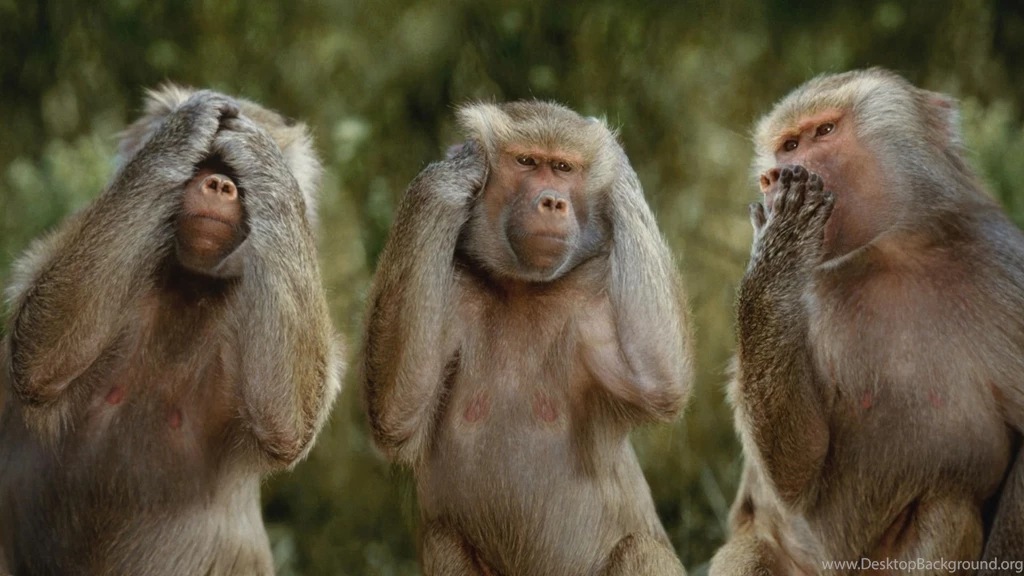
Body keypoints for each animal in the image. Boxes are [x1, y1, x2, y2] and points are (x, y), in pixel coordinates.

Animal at [0, 85, 343, 575]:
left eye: (235, 174)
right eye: (205, 163)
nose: (220, 185)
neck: (188, 283)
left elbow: (286, 421)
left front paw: (260, 151)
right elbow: (38, 356)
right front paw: (187, 125)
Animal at [361, 101, 693, 576]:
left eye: (563, 167)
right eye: (527, 162)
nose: (552, 201)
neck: (521, 288)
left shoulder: (591, 297)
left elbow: (660, 381)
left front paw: (619, 169)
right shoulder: (453, 289)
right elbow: (396, 414)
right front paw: (452, 173)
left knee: (641, 550)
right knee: (443, 541)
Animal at [709, 68, 1024, 575]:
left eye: (823, 132)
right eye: (787, 145)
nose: (771, 177)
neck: (891, 254)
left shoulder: (1003, 266)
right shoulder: (809, 292)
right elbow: (797, 472)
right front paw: (779, 244)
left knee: (948, 509)